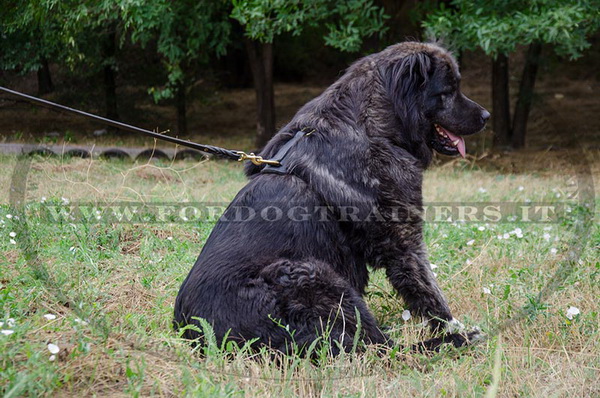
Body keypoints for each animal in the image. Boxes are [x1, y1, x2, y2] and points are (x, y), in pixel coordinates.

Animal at [173, 42, 488, 352]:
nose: (486, 116)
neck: (374, 126)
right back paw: (457, 341)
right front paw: (453, 327)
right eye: (448, 91)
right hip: (313, 274)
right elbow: (431, 296)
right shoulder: (404, 243)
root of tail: (195, 335)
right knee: (384, 349)